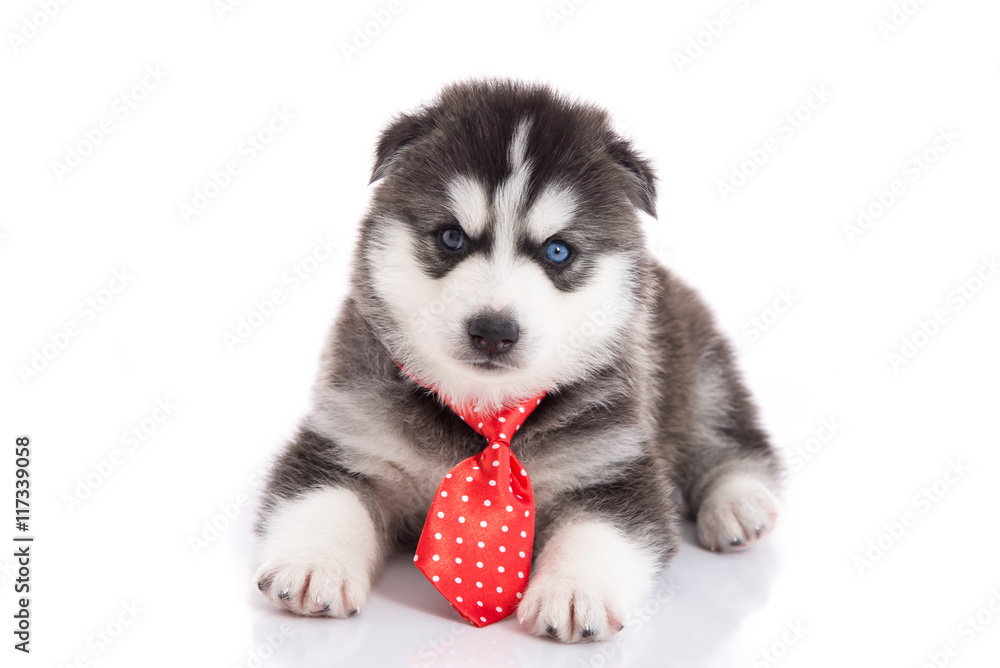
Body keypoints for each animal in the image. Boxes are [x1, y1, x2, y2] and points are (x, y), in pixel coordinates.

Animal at [254, 78, 784, 640]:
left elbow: (602, 529)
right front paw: (314, 563)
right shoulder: (346, 434)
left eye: (558, 251)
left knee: (728, 439)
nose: (493, 332)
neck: (486, 415)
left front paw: (573, 591)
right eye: (451, 237)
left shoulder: (615, 462)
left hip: (701, 371)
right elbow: (323, 496)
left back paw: (738, 503)